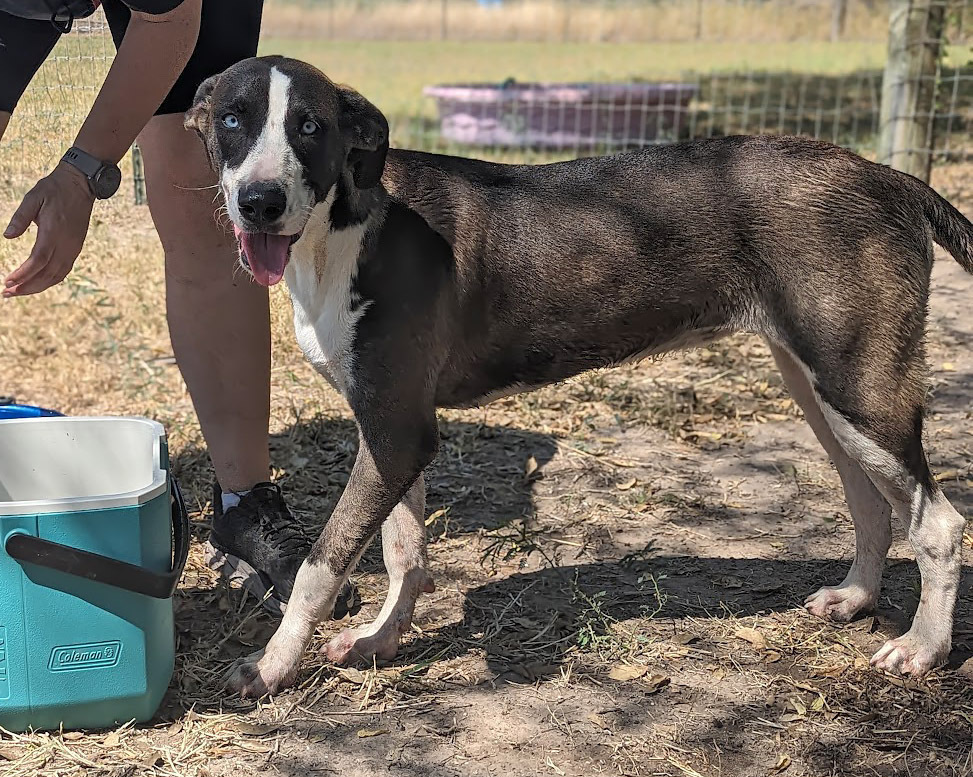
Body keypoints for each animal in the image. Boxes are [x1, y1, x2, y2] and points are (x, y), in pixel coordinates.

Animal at [184, 56, 972, 696]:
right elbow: (403, 549)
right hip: (821, 389)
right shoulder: (394, 432)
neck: (345, 226)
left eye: (309, 126)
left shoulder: (396, 431)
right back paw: (856, 598)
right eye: (232, 119)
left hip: (858, 388)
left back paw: (922, 649)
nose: (259, 202)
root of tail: (885, 176)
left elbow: (322, 565)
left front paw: (271, 667)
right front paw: (382, 639)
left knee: (937, 521)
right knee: (872, 502)